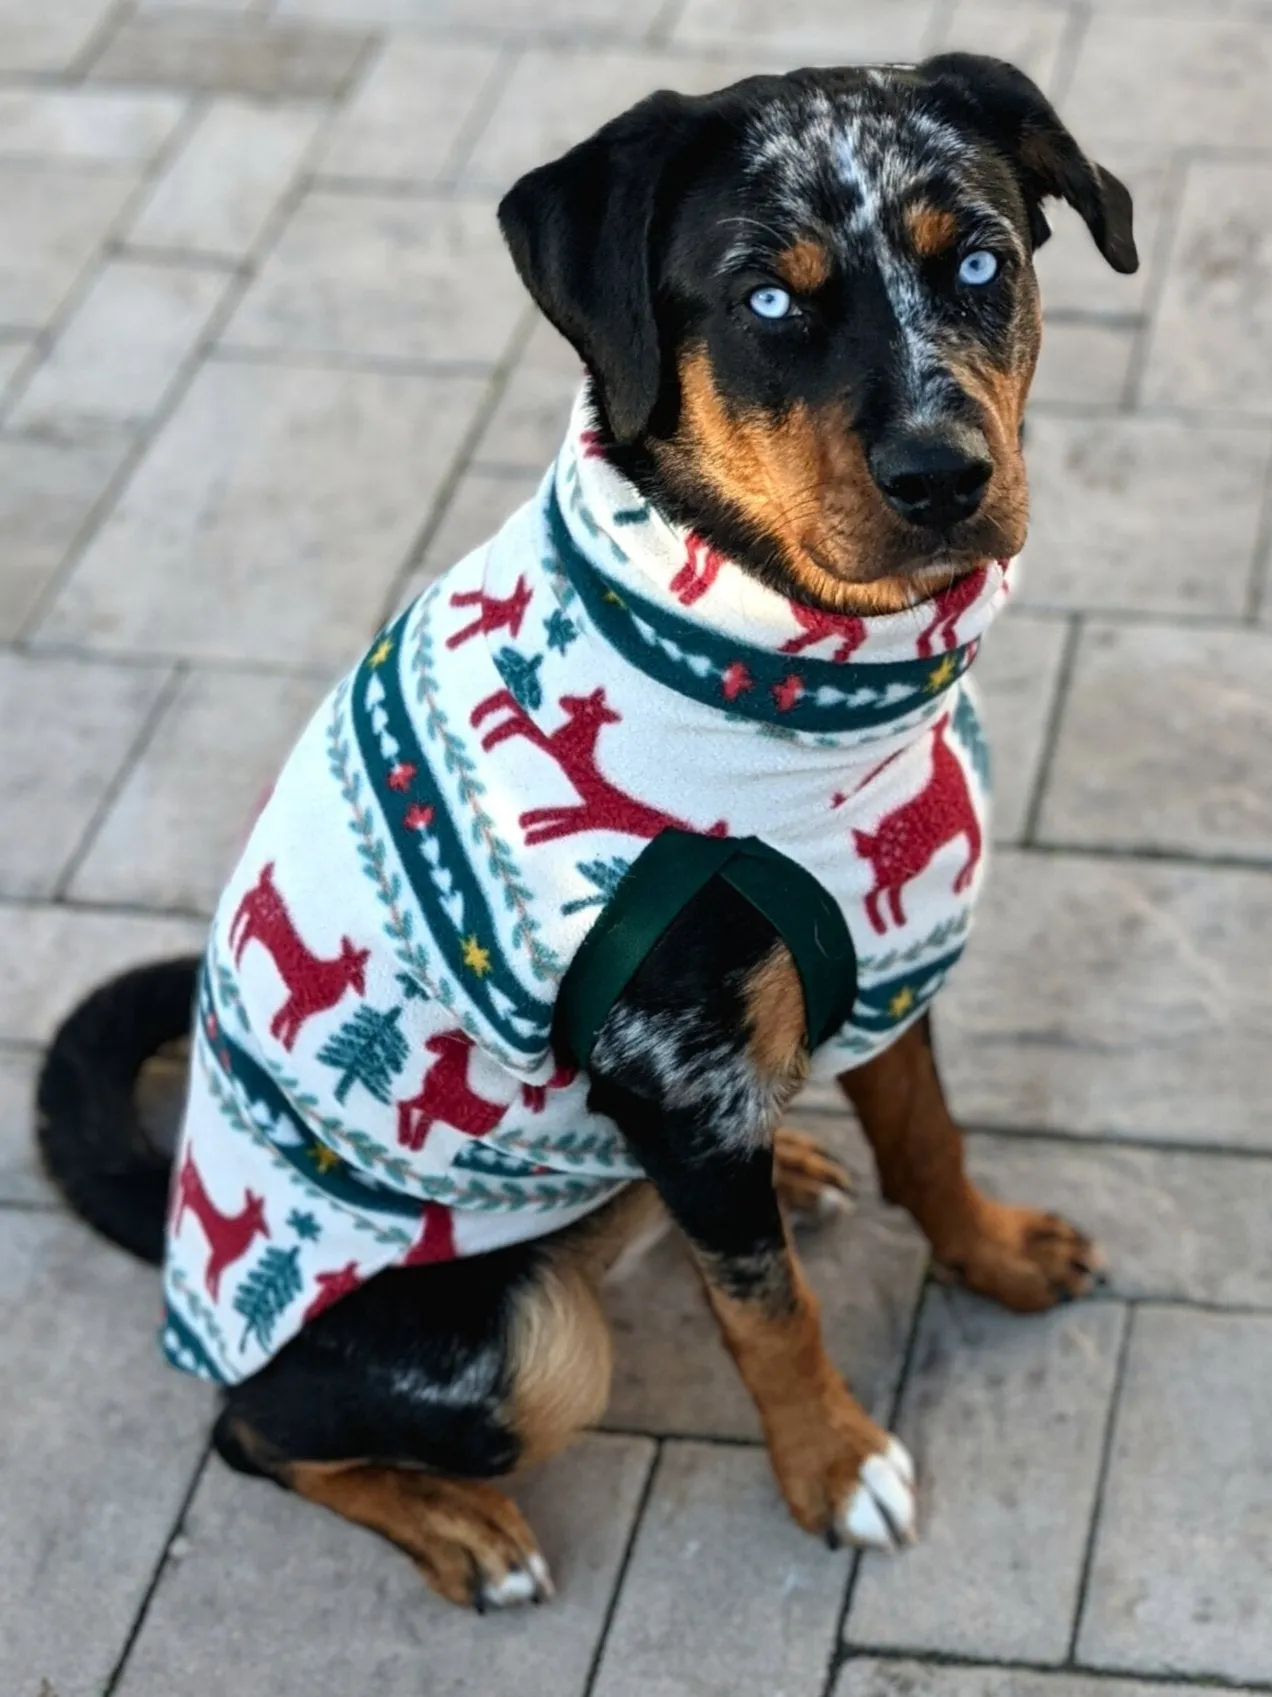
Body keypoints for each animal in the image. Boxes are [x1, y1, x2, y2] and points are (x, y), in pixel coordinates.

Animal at [37, 53, 1132, 1608]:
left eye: (979, 260)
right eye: (768, 300)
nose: (944, 476)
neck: (787, 672)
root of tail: (187, 1241)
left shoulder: (884, 973)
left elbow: (930, 1143)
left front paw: (996, 1251)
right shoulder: (680, 1073)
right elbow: (770, 1312)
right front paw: (835, 1466)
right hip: (518, 1343)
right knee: (250, 1428)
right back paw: (460, 1526)